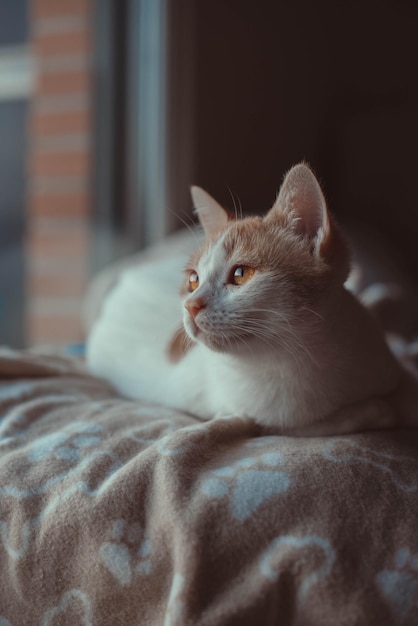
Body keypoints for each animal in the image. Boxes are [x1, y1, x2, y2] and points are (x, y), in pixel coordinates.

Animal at [85, 161, 418, 434]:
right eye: (193, 280)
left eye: (241, 274)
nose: (190, 305)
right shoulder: (263, 418)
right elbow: (342, 419)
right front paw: (379, 409)